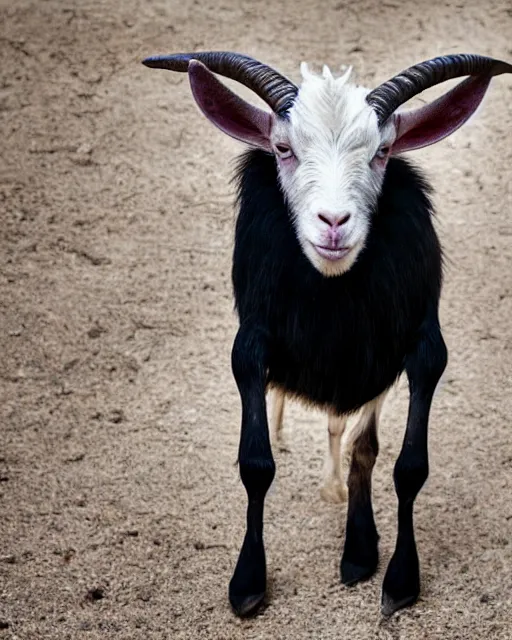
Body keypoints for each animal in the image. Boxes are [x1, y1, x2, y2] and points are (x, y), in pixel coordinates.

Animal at [143, 53, 512, 616]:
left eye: (382, 152)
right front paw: (248, 583)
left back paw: (358, 550)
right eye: (283, 148)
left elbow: (407, 465)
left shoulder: (425, 348)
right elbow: (256, 464)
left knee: (361, 445)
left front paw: (400, 580)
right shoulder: (249, 347)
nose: (334, 222)